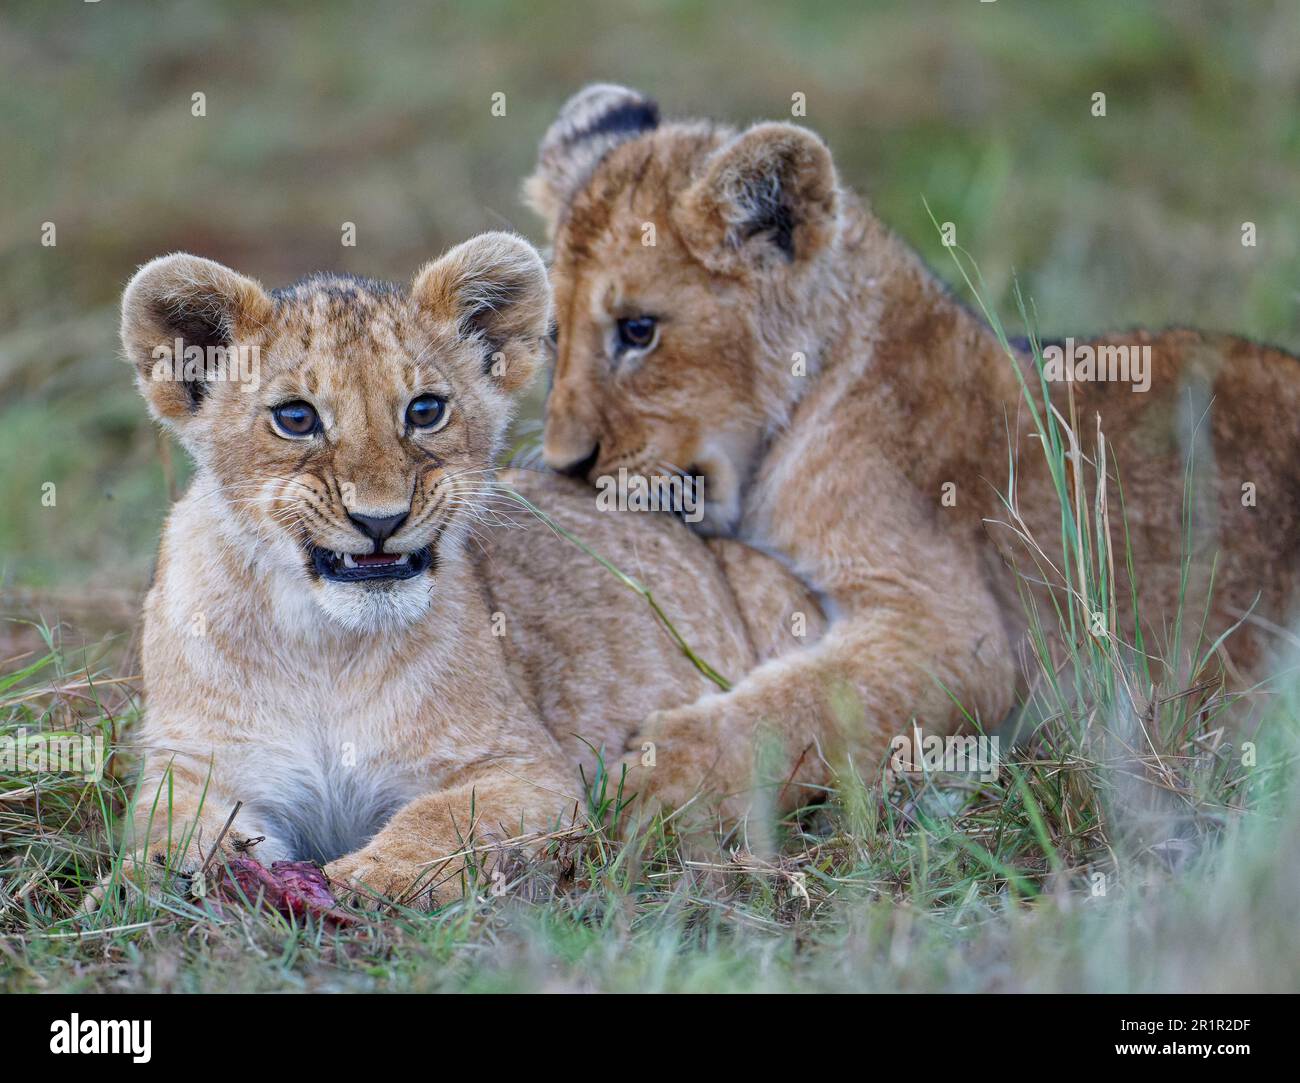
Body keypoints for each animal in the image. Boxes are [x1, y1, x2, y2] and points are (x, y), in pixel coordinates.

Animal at [115, 233, 821, 907]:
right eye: (296, 418)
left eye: (426, 410)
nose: (380, 520)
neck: (325, 646)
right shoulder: (198, 768)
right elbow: (170, 834)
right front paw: (143, 883)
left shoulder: (527, 770)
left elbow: (442, 819)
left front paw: (369, 877)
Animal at [524, 84, 1300, 815]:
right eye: (555, 338)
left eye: (638, 330)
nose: (565, 464)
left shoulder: (959, 632)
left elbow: (805, 702)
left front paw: (653, 779)